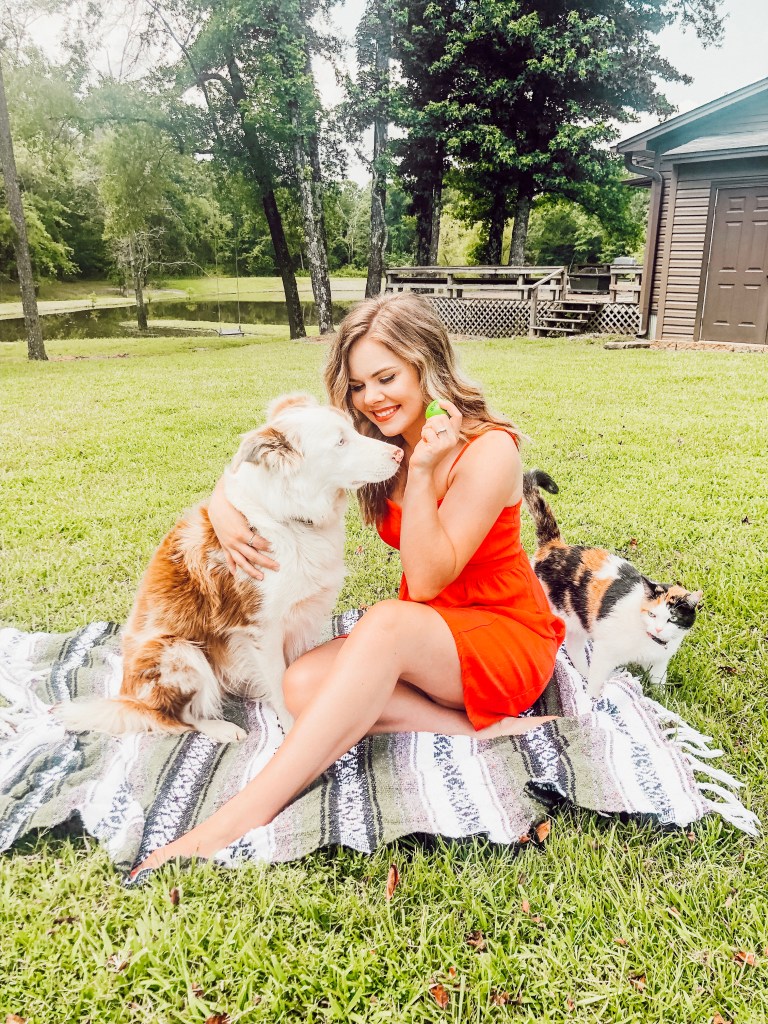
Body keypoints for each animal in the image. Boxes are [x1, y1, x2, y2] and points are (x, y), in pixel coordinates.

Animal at [57, 394, 403, 743]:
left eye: (352, 430)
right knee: (171, 717)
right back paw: (220, 728)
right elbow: (280, 685)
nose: (399, 454)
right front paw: (292, 728)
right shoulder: (262, 628)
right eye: (340, 442)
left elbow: (294, 674)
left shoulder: (302, 616)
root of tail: (128, 697)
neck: (289, 516)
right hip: (179, 652)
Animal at [523, 469, 703, 699]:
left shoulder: (659, 664)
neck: (649, 639)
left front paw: (665, 700)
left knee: (573, 647)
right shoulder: (605, 652)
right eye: (652, 614)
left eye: (672, 619)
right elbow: (597, 679)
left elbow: (659, 687)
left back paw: (583, 673)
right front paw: (593, 700)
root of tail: (555, 546)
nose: (659, 628)